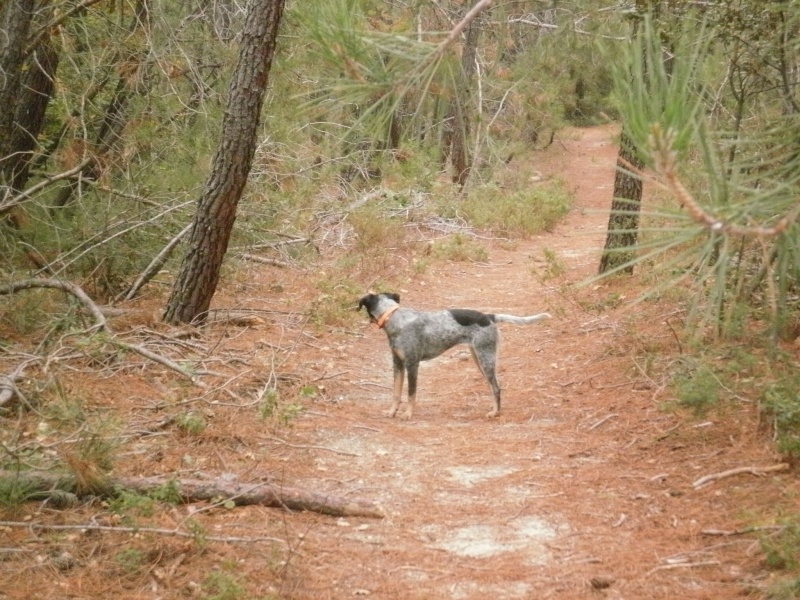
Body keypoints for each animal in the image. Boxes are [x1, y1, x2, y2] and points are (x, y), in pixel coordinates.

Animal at [356, 292, 552, 420]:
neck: (394, 317)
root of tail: (489, 317)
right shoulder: (397, 364)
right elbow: (396, 393)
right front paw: (392, 412)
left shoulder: (412, 364)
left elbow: (411, 394)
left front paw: (408, 414)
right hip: (479, 358)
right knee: (493, 387)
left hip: (486, 359)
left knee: (497, 388)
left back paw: (495, 413)